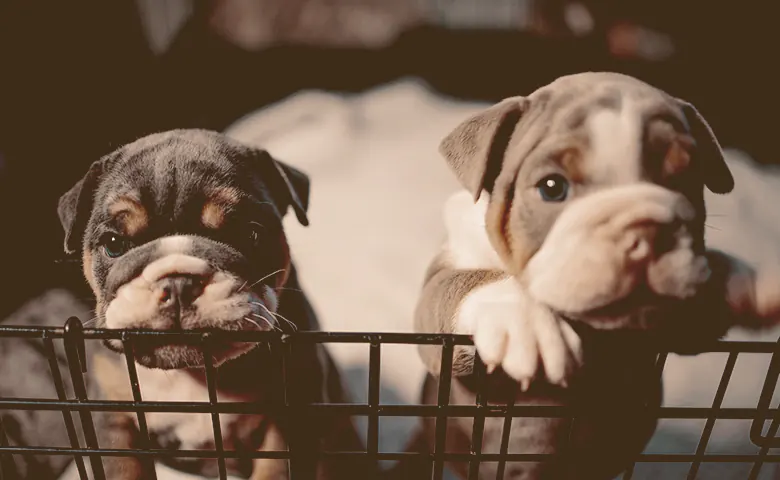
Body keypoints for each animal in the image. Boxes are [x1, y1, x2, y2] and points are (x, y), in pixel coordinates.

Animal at [58, 128, 368, 480]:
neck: (193, 373)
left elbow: (276, 467)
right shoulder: (114, 418)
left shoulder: (292, 415)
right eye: (114, 244)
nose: (177, 283)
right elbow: (122, 467)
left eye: (250, 234)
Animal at [414, 72, 780, 480]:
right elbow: (459, 284)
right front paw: (523, 317)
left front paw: (757, 284)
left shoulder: (680, 328)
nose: (646, 231)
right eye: (552, 187)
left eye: (685, 181)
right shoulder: (442, 311)